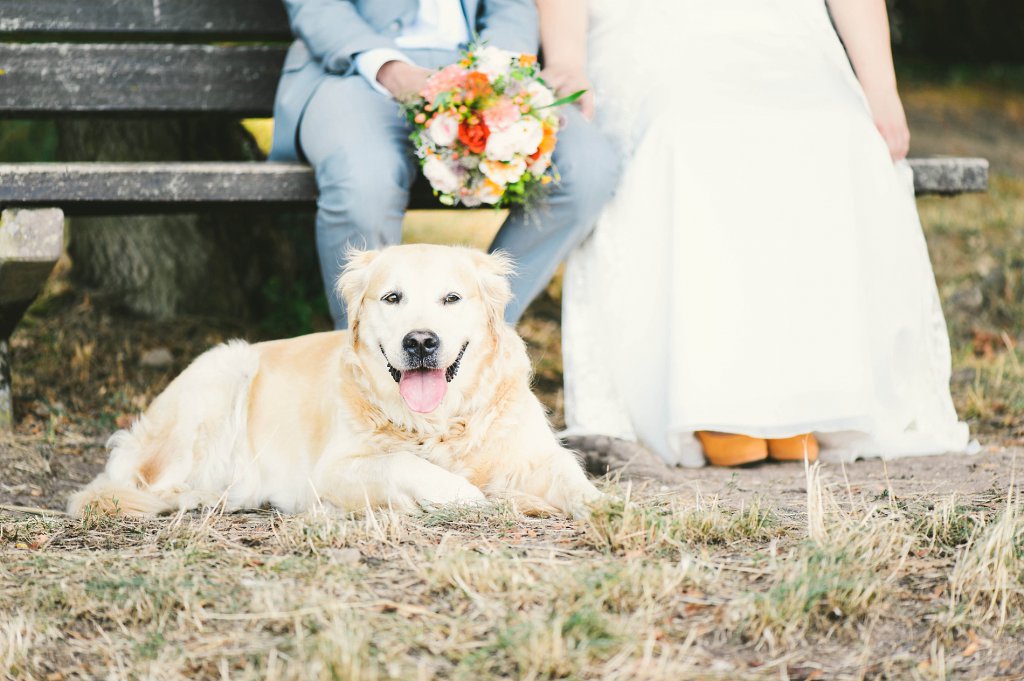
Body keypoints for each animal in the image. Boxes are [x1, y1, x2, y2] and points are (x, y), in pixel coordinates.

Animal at [70, 244, 598, 516]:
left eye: (452, 298)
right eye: (392, 297)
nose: (420, 342)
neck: (438, 424)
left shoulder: (537, 454)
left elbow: (574, 478)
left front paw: (601, 506)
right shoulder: (332, 468)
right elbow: (405, 465)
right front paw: (466, 494)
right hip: (222, 373)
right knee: (139, 483)